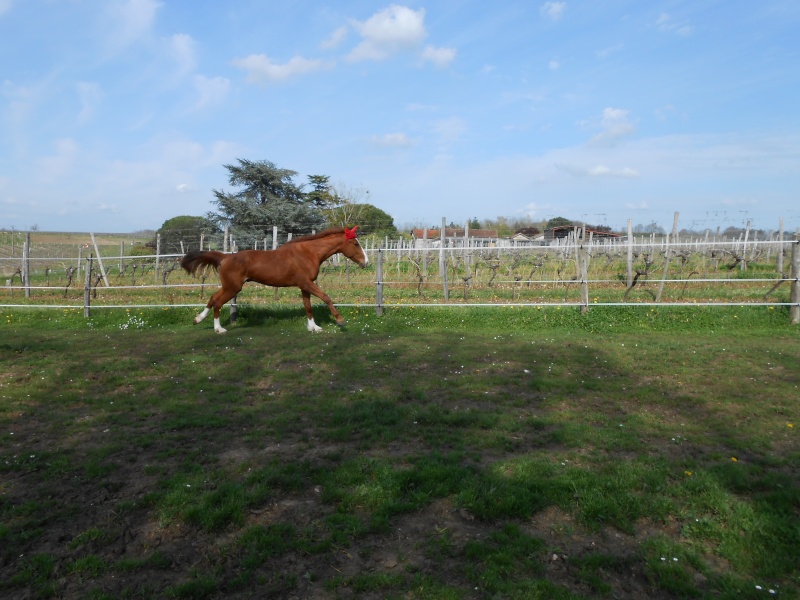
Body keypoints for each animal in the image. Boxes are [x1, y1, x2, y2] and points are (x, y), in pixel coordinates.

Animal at [180, 227, 368, 336]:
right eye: (355, 244)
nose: (366, 262)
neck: (308, 254)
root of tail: (225, 257)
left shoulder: (304, 286)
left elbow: (308, 306)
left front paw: (313, 328)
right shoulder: (307, 283)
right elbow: (326, 297)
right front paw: (340, 320)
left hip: (229, 287)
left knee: (212, 299)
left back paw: (198, 319)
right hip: (232, 288)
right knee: (217, 302)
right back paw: (218, 329)